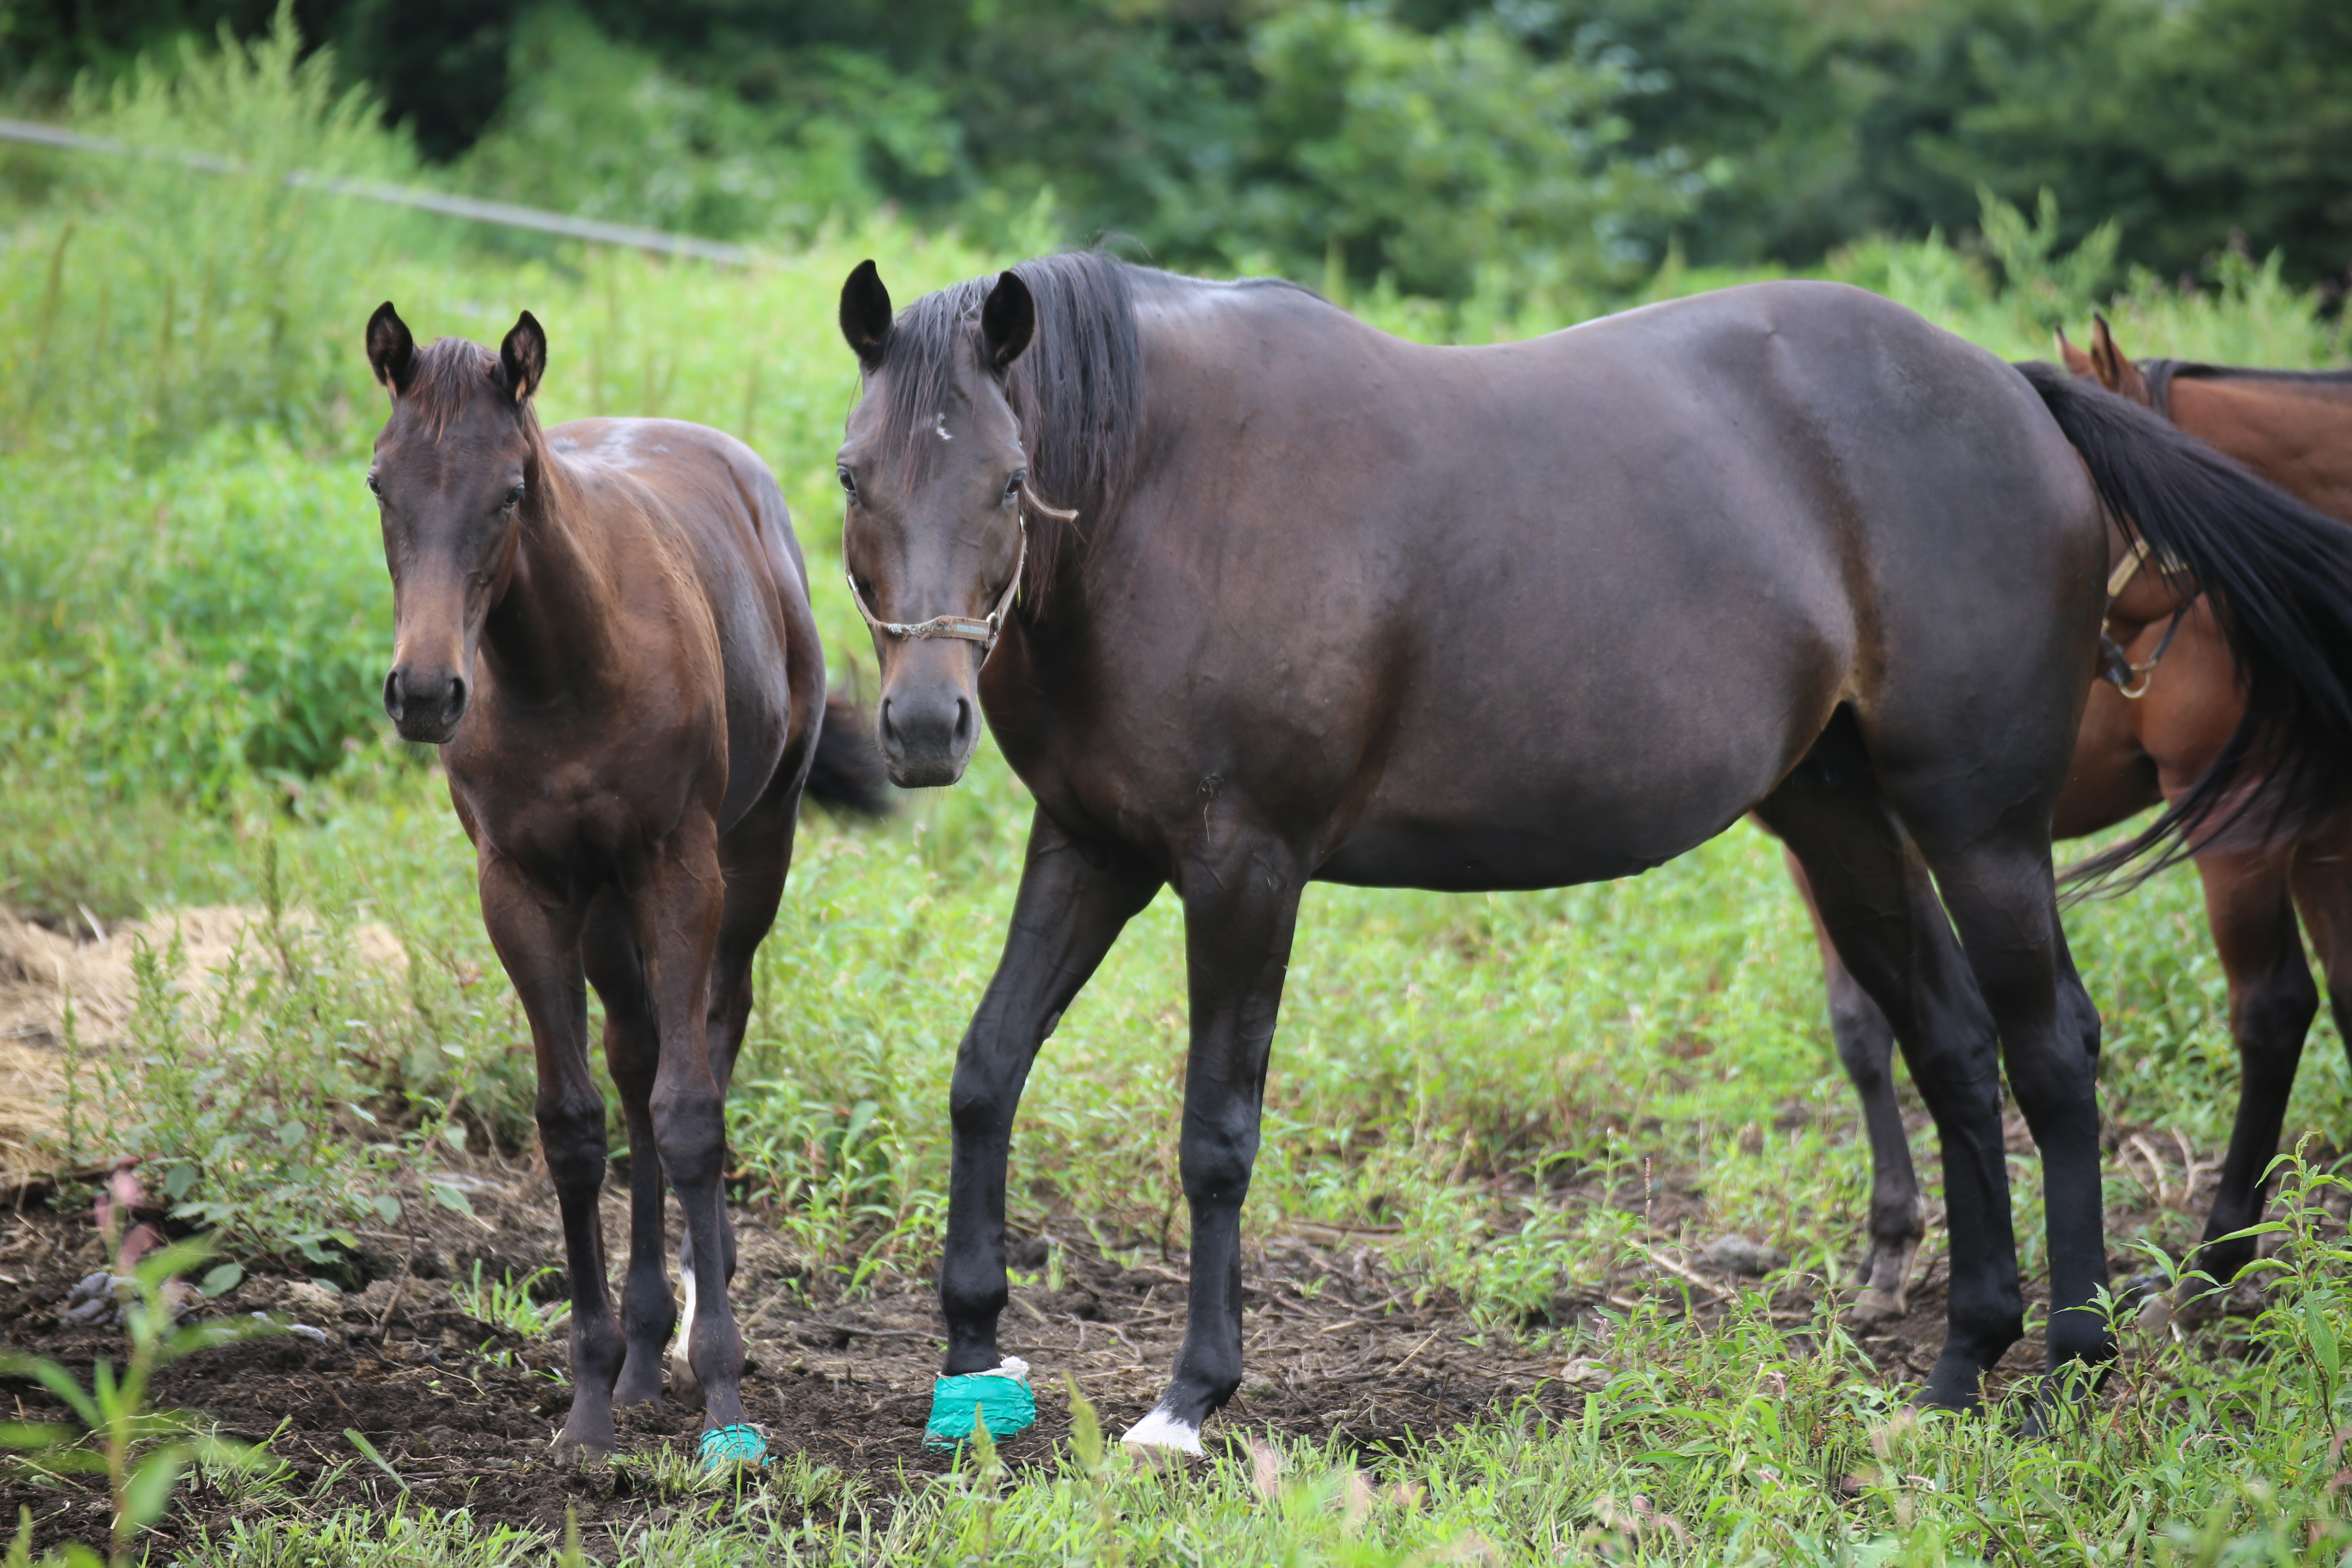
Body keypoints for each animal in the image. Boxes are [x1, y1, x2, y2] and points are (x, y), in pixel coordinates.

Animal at [362, 303, 880, 1457]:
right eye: (380, 483)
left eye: (512, 490)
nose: (424, 692)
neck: (563, 668)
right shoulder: (521, 888)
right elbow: (573, 1124)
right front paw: (590, 1406)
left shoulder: (677, 867)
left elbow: (693, 1115)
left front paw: (725, 1396)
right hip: (602, 909)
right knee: (636, 1058)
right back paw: (643, 1352)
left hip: (750, 858)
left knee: (711, 1040)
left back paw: (691, 1332)